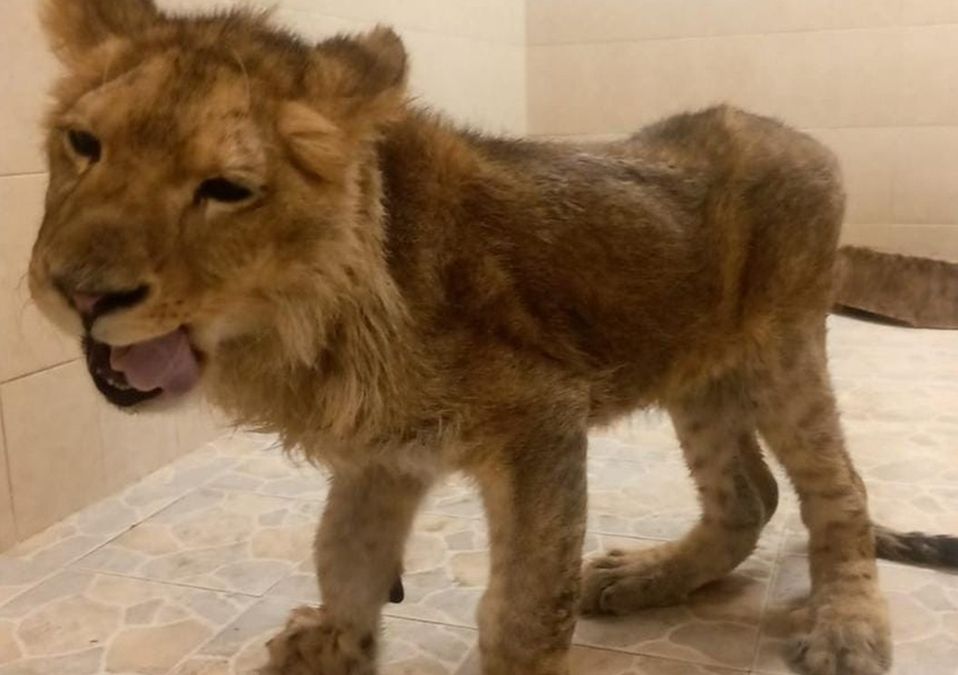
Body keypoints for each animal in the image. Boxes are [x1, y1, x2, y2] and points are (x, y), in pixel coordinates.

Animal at [28, 2, 957, 674]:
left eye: (226, 189)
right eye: (84, 144)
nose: (79, 293)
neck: (310, 315)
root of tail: (795, 133)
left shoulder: (542, 416)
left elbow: (522, 608)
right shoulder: (381, 450)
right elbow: (345, 548)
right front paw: (334, 642)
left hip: (785, 348)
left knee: (838, 492)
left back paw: (847, 629)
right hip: (699, 371)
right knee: (748, 495)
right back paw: (640, 577)